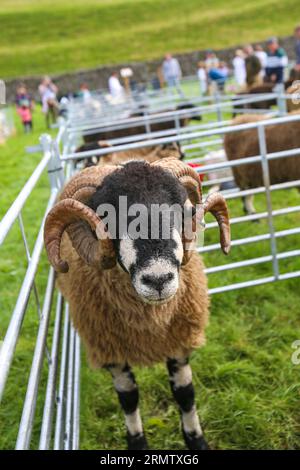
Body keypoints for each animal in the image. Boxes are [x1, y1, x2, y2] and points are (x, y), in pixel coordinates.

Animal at [43, 159, 231, 452]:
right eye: (107, 217)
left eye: (182, 210)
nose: (158, 279)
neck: (150, 323)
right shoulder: (112, 352)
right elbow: (129, 399)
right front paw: (137, 443)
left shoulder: (178, 340)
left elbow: (185, 394)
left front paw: (196, 440)